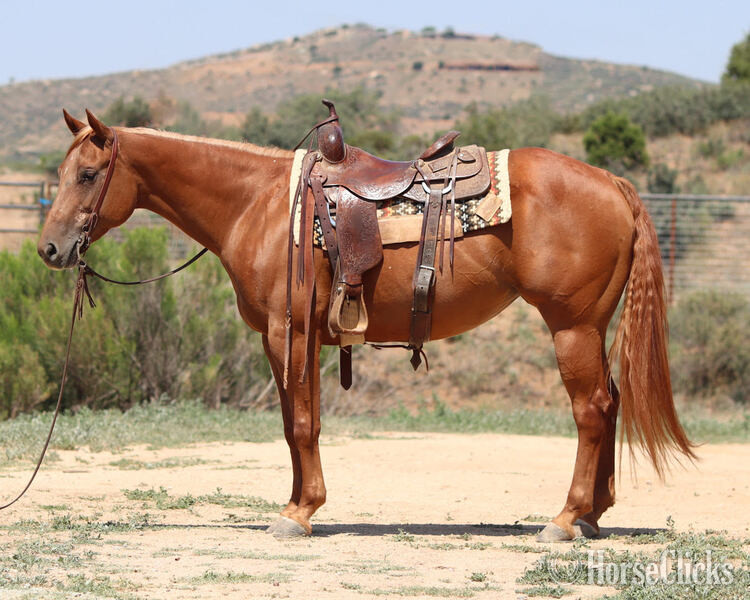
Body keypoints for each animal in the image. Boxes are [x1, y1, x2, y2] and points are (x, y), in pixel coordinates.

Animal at [38, 109, 695, 541]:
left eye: (88, 175)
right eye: (63, 172)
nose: (49, 249)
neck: (259, 204)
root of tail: (614, 184)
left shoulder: (287, 332)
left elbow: (300, 423)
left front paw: (298, 514)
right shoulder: (296, 338)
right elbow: (299, 424)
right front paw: (301, 503)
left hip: (572, 328)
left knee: (591, 410)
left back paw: (564, 519)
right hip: (591, 328)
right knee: (610, 403)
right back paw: (593, 515)